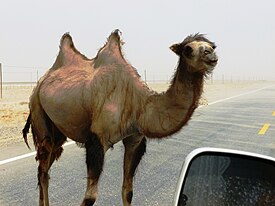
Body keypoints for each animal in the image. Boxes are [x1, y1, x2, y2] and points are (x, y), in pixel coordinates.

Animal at [22, 29, 219, 206]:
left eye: (212, 45)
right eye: (188, 49)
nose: (211, 55)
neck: (139, 102)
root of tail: (42, 81)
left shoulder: (134, 139)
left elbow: (128, 191)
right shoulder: (97, 138)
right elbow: (90, 197)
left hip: (58, 130)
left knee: (44, 169)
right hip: (38, 111)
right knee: (43, 171)